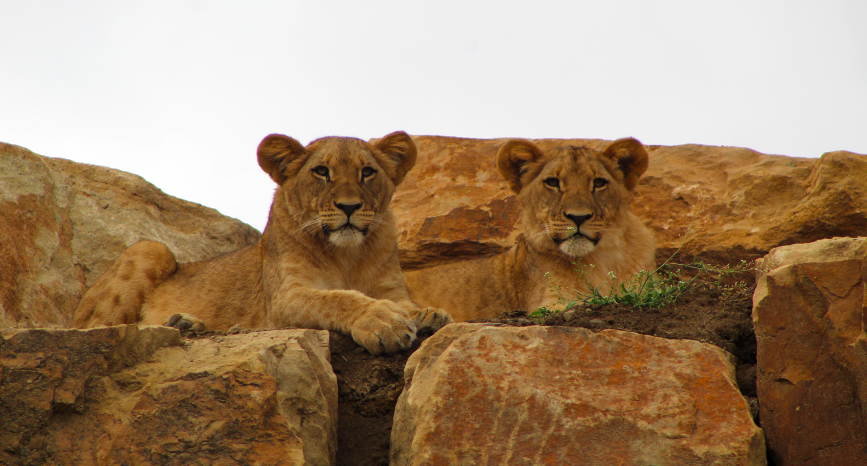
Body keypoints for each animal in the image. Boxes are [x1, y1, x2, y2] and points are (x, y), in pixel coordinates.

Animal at [73, 131, 452, 354]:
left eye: (367, 172)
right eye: (322, 172)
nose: (349, 207)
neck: (349, 255)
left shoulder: (391, 288)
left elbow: (408, 304)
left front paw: (429, 314)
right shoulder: (285, 298)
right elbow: (336, 299)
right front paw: (383, 322)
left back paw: (186, 323)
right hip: (151, 249)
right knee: (97, 329)